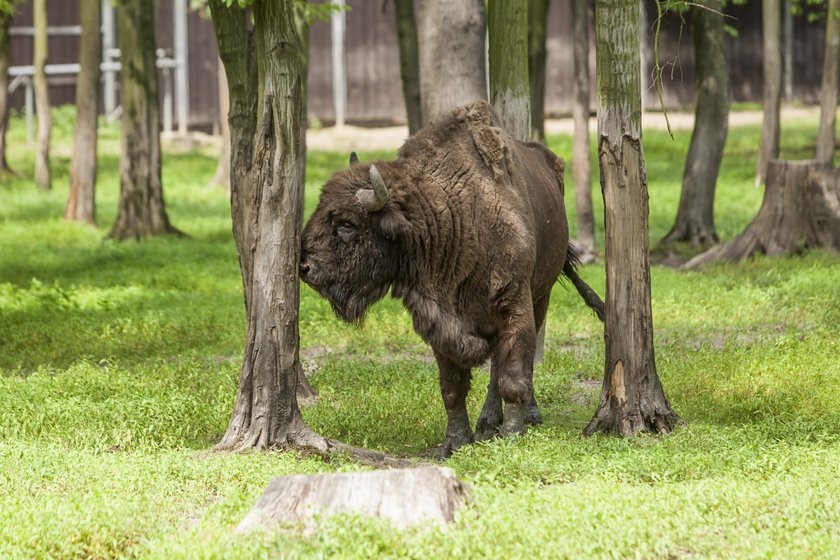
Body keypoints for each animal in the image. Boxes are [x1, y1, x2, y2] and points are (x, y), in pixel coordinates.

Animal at [298, 101, 600, 456]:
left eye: (346, 224)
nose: (304, 267)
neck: (452, 218)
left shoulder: (515, 308)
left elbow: (513, 375)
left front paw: (512, 434)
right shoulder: (439, 324)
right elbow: (452, 387)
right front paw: (455, 441)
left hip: (542, 294)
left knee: (519, 361)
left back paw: (527, 415)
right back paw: (487, 421)